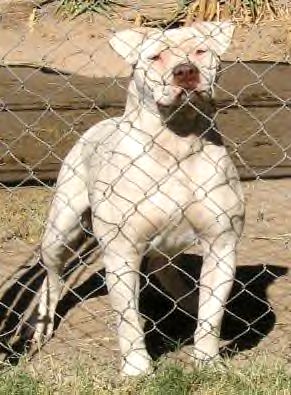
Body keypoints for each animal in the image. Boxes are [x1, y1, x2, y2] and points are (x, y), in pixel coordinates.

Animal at [33, 21, 245, 378]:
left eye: (200, 51)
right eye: (155, 56)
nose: (185, 71)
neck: (177, 143)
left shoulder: (221, 244)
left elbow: (211, 315)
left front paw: (207, 362)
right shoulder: (122, 251)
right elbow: (128, 320)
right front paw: (137, 370)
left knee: (166, 269)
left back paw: (188, 301)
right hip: (60, 232)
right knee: (52, 279)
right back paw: (42, 325)